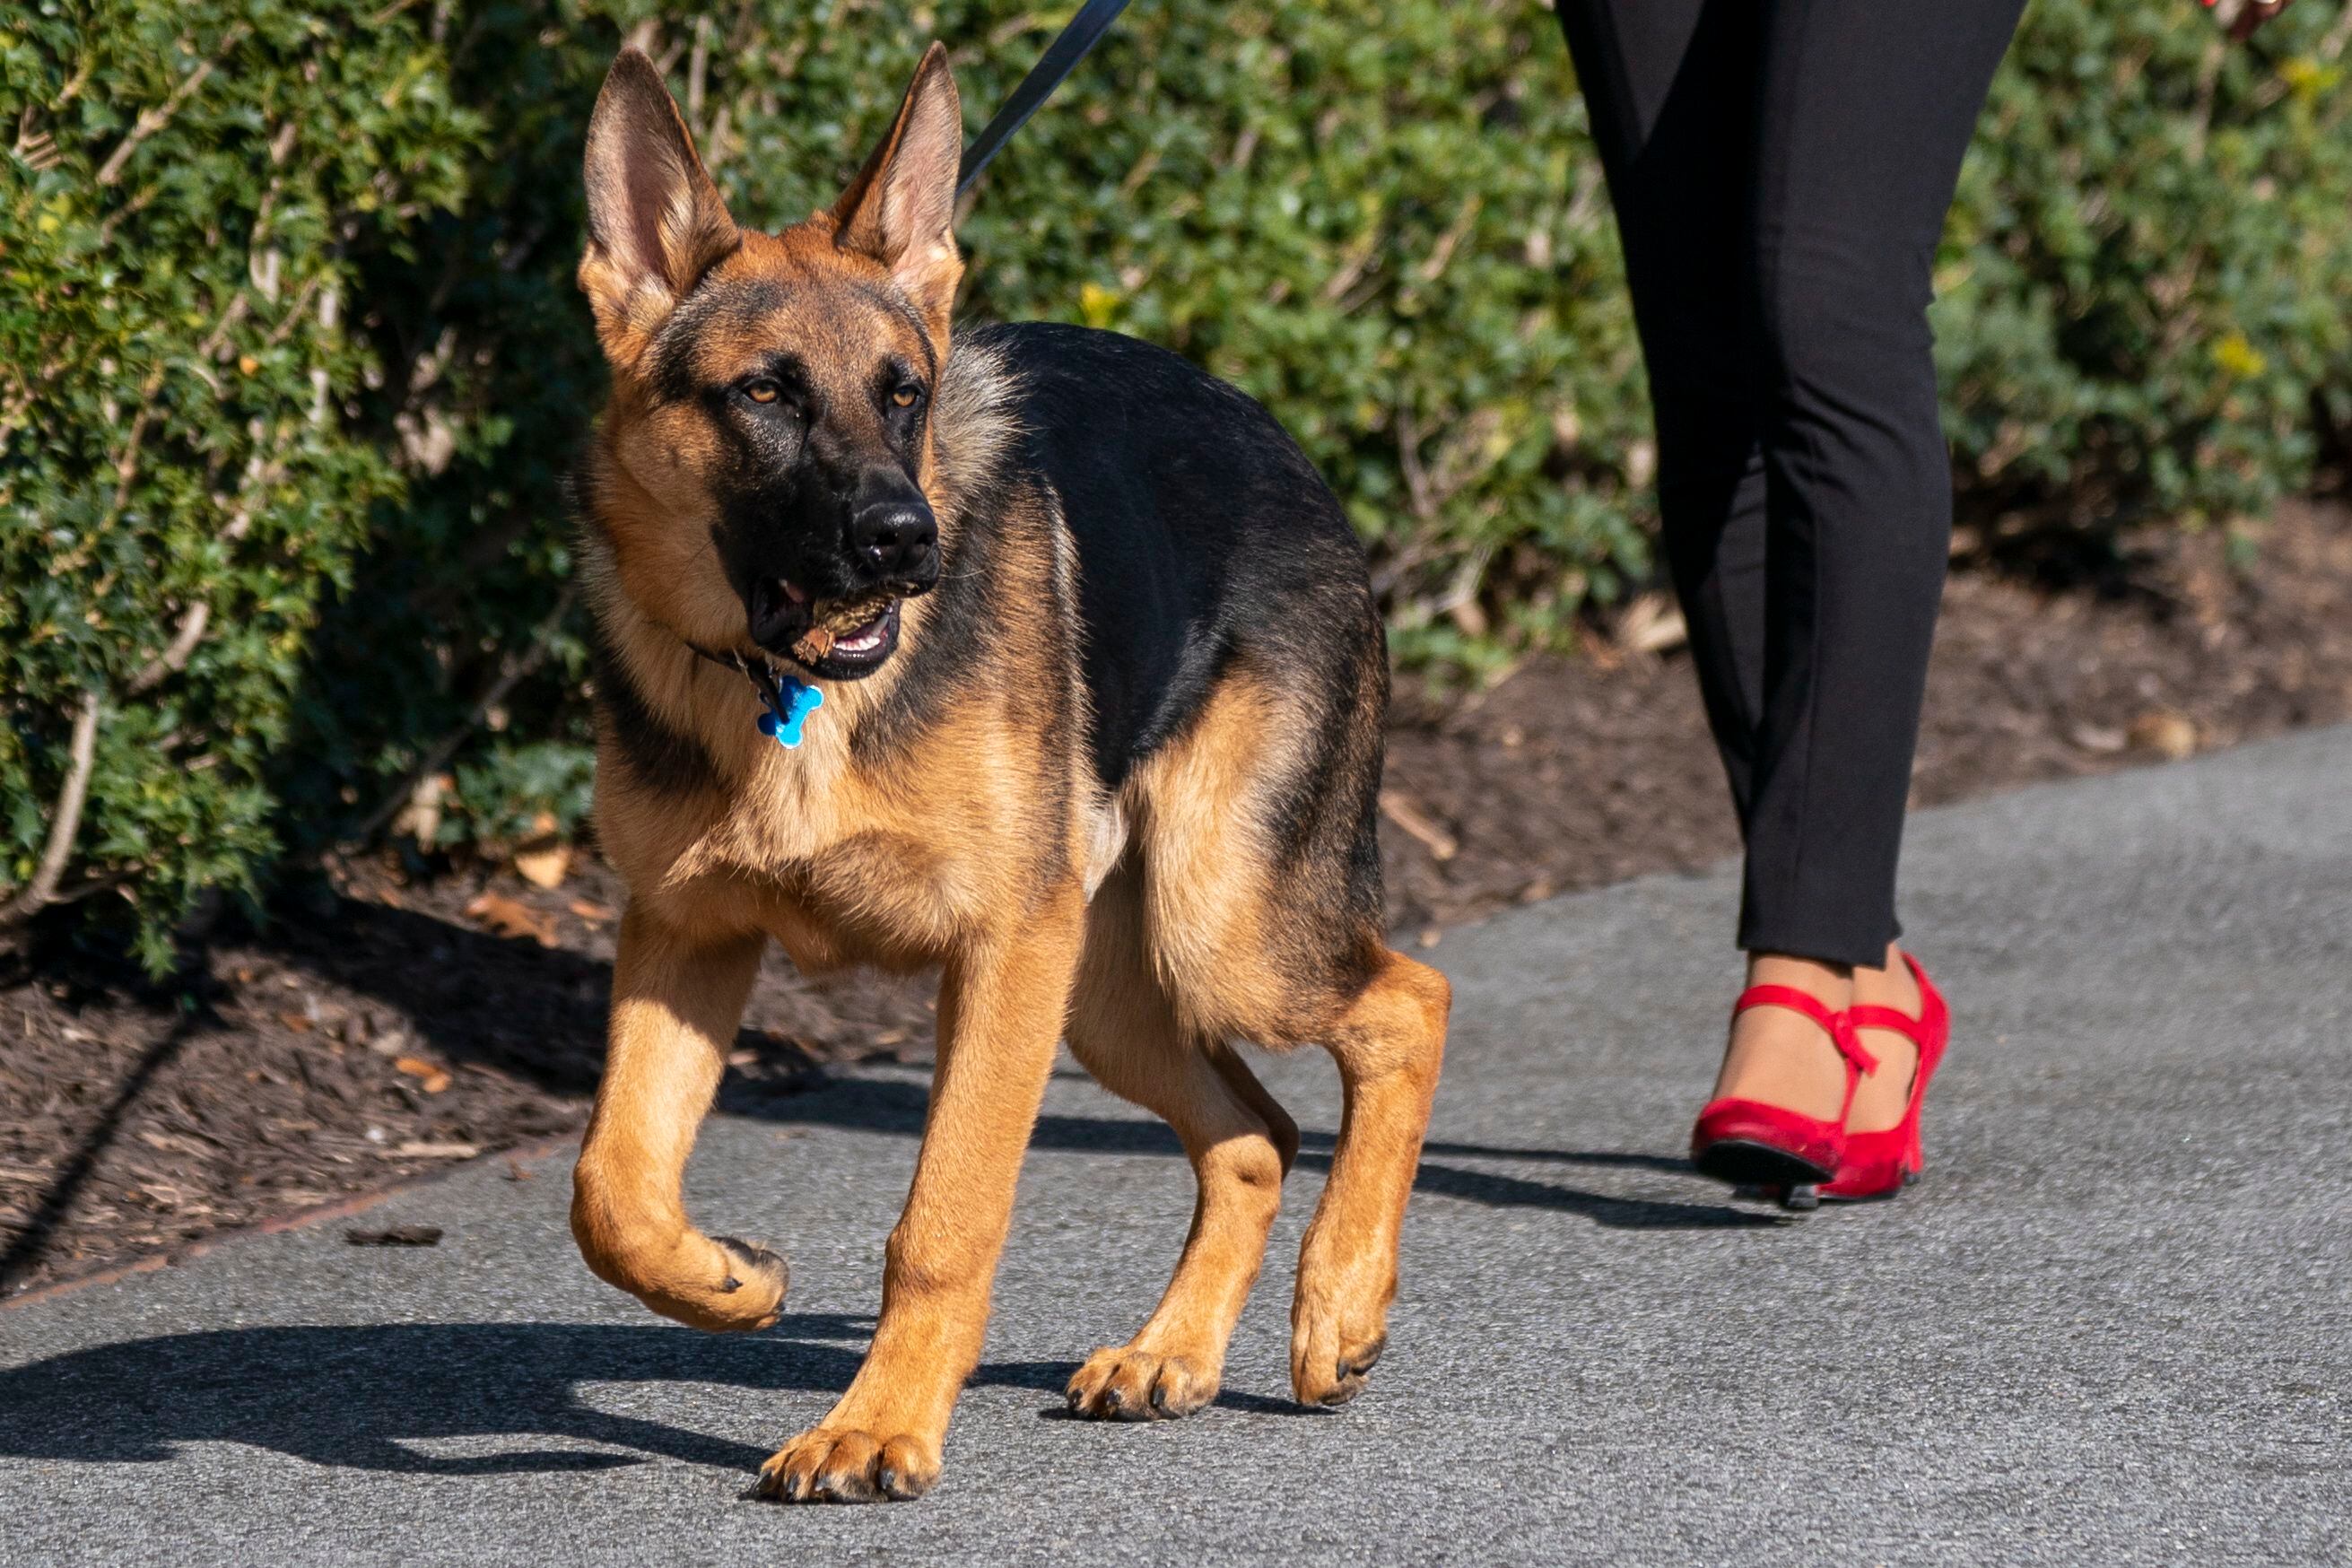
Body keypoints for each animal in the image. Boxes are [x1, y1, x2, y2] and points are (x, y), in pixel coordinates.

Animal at [569, 42, 1449, 1504]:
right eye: (764, 393)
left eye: (904, 392)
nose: (903, 540)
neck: (790, 691)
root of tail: (1275, 437)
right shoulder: (683, 934)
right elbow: (612, 1187)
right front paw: (728, 1280)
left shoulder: (998, 949)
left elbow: (944, 1217)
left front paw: (878, 1425)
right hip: (1103, 992)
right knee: (1254, 1134)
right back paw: (1172, 1350)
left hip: (1212, 933)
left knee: (1406, 1005)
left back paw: (1340, 1301)